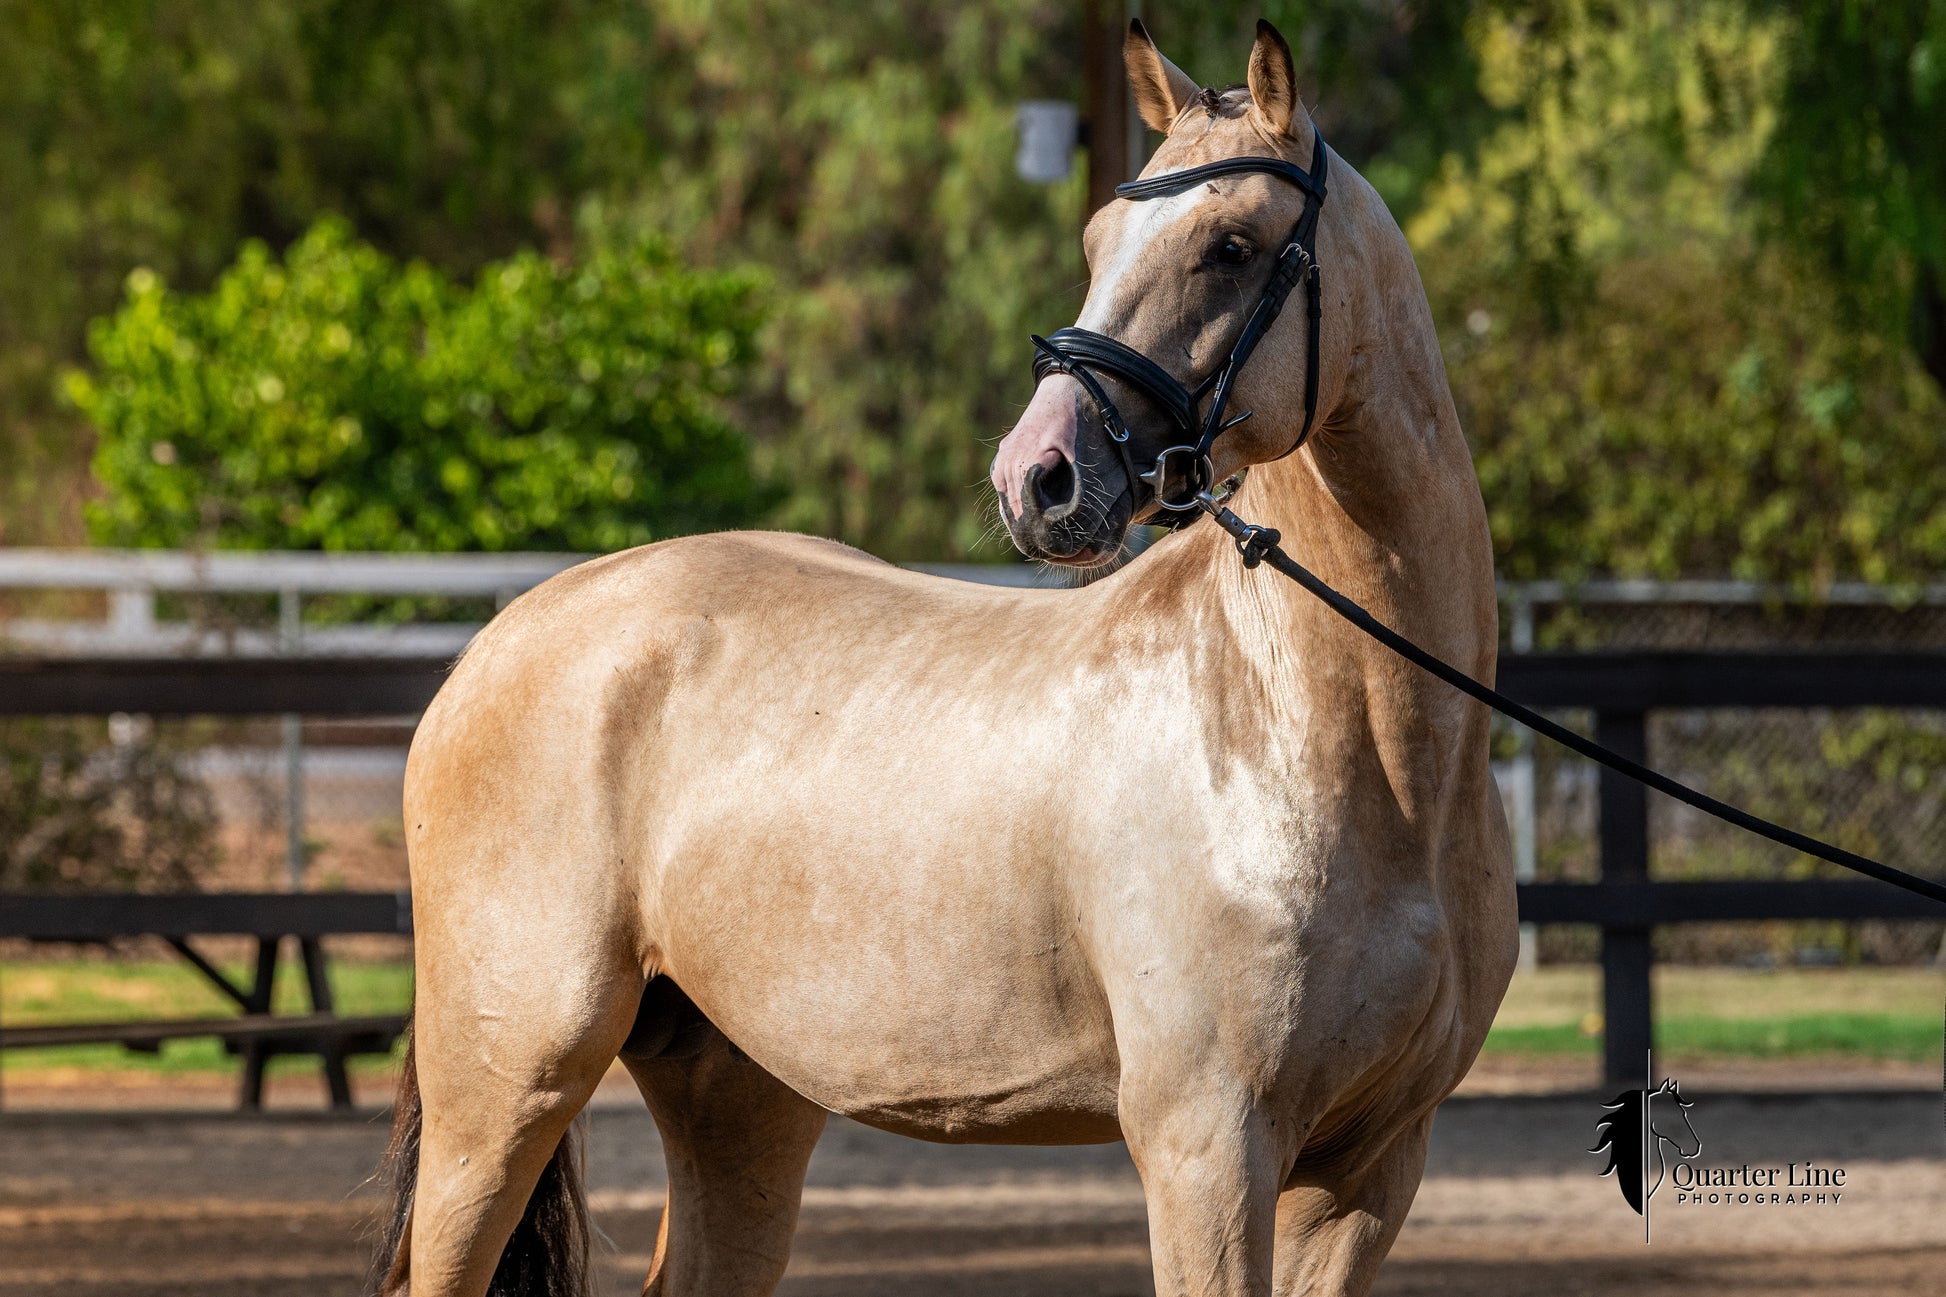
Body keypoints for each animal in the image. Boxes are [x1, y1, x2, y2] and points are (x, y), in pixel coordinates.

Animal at [371, 18, 1516, 1297]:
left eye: (1230, 245)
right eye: (1095, 241)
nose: (1038, 475)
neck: (1332, 737)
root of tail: (499, 643)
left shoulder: (1370, 1165)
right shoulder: (1208, 1145)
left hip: (738, 1095)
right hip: (506, 1087)